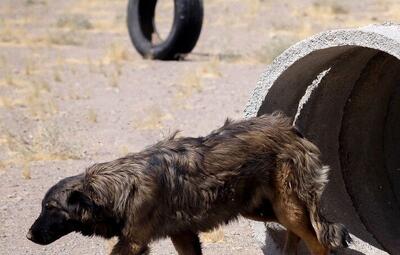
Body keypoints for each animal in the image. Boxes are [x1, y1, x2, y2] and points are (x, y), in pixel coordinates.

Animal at [27, 112, 350, 254]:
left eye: (51, 209)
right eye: (42, 207)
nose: (28, 236)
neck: (119, 188)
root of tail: (291, 129)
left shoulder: (133, 242)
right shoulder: (182, 234)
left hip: (286, 208)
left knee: (319, 241)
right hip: (259, 209)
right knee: (301, 234)